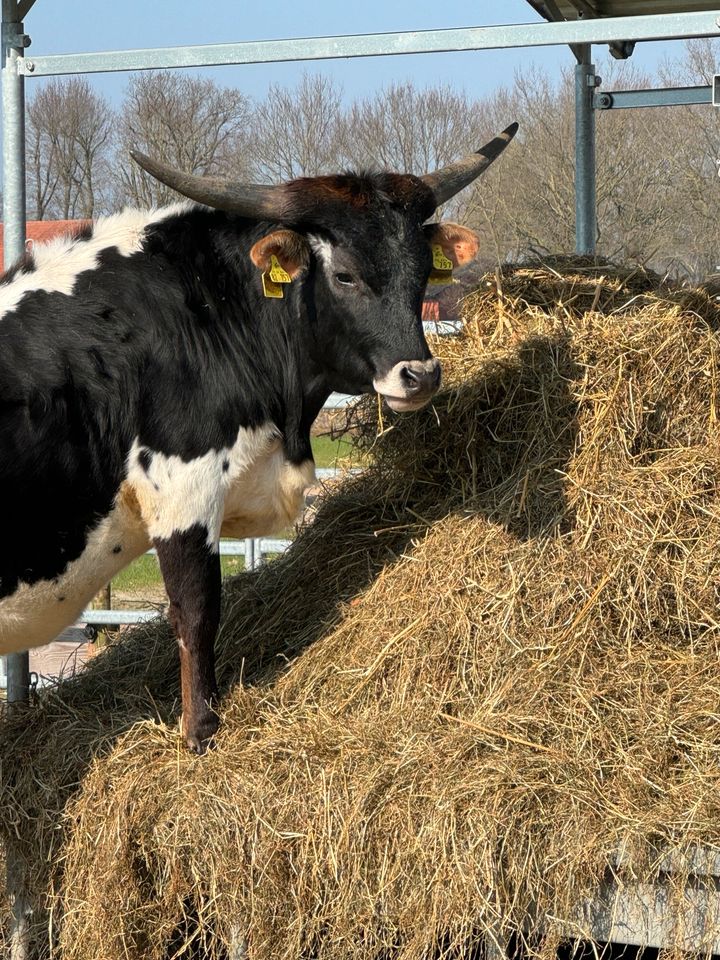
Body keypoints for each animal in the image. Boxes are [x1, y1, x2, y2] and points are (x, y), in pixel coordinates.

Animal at [0, 122, 516, 752]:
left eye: (422, 272)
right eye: (344, 274)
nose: (419, 375)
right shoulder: (182, 487)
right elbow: (196, 610)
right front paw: (200, 730)